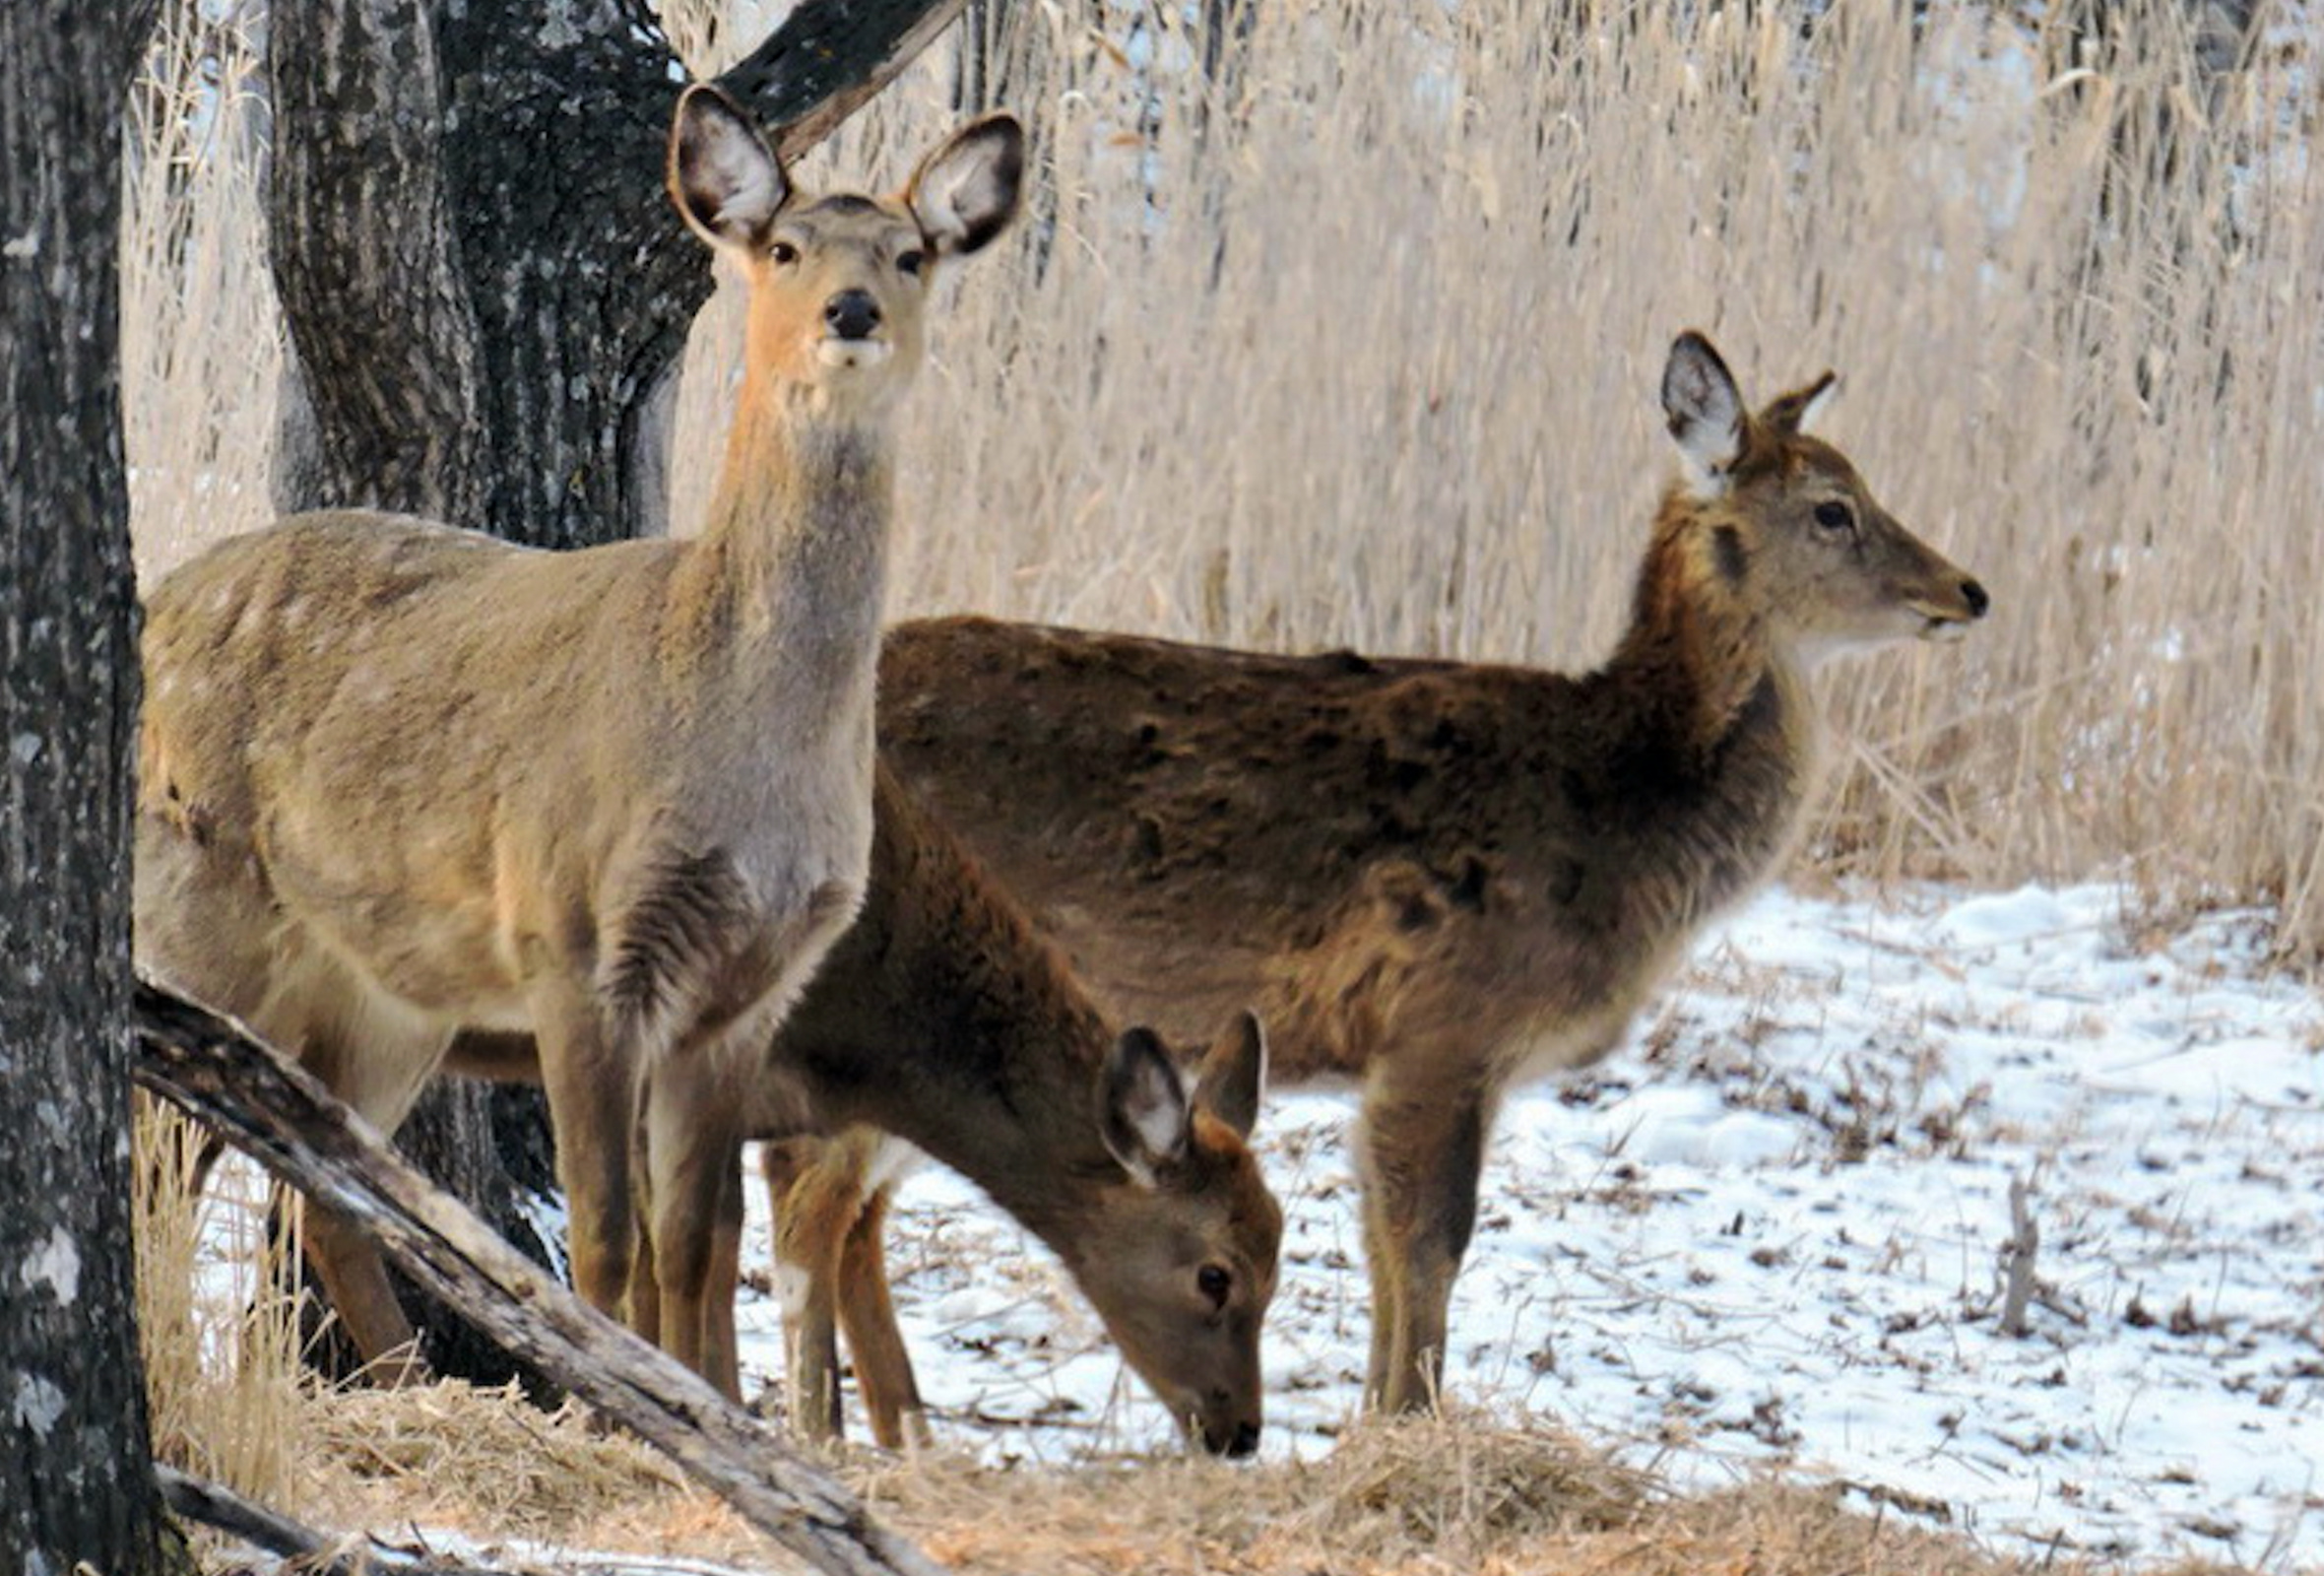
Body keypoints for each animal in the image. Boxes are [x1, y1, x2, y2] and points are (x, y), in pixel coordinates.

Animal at [133, 86, 1027, 1385]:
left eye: (910, 254)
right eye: (785, 247)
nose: (851, 309)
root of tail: (153, 602)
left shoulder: (751, 989)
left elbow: (696, 1238)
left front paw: (711, 1407)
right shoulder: (575, 941)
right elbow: (605, 1234)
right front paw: (618, 1402)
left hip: (384, 990)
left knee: (317, 1193)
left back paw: (407, 1383)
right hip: (201, 900)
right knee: (158, 1153)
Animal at [771, 330, 1989, 1422]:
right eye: (1831, 507)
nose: (1966, 588)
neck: (1625, 811)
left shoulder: (1393, 1057)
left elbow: (1377, 1241)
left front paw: (1372, 1420)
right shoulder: (1447, 1021)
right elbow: (1431, 1240)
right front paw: (1411, 1426)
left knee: (852, 1212)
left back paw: (903, 1430)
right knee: (809, 1202)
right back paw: (823, 1426)